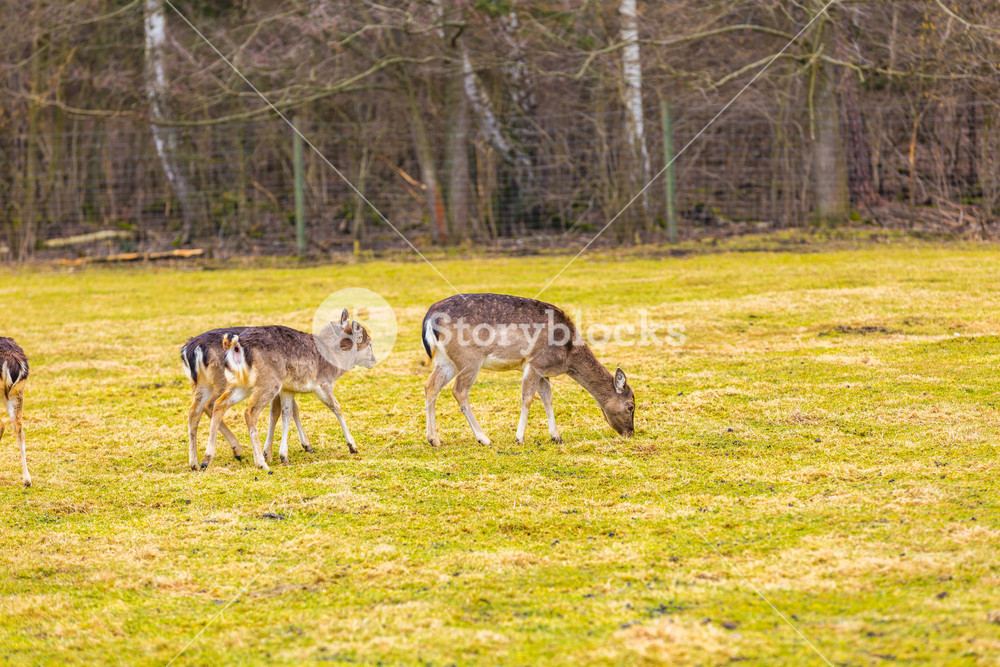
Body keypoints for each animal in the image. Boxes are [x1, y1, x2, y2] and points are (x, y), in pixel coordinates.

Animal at [181, 328, 312, 471]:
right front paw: (305, 445)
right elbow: (287, 410)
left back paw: (195, 463)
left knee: (194, 411)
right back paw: (234, 451)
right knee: (211, 404)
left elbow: (284, 410)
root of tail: (191, 350)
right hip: (223, 381)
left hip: (201, 384)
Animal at [202, 309, 376, 472]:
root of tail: (236, 345)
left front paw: (283, 456)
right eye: (369, 342)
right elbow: (336, 407)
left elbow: (287, 413)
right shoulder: (323, 383)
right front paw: (353, 446)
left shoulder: (288, 389)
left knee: (220, 403)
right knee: (250, 412)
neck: (335, 360)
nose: (373, 360)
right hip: (268, 383)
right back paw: (261, 463)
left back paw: (206, 459)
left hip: (239, 383)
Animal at [421, 293, 635, 447]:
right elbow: (528, 397)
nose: (630, 432)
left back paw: (434, 439)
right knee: (459, 391)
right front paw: (519, 438)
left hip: (445, 360)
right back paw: (484, 439)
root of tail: (429, 318)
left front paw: (556, 436)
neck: (567, 353)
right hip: (470, 358)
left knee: (430, 385)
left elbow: (547, 398)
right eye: (630, 406)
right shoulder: (535, 363)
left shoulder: (544, 371)